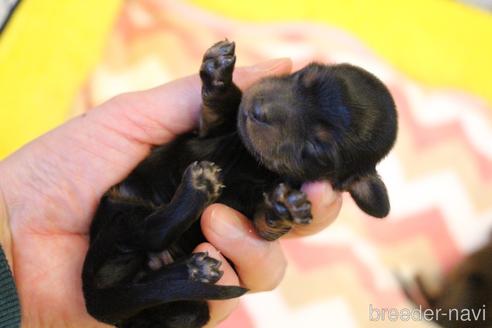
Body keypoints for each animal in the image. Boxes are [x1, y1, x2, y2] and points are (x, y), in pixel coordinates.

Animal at [80, 41, 396, 328]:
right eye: (304, 75)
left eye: (316, 148)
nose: (259, 110)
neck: (252, 160)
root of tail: (96, 300)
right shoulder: (210, 128)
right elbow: (222, 107)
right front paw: (218, 71)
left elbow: (265, 223)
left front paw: (283, 209)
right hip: (120, 212)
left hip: (179, 298)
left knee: (150, 238)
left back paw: (194, 223)